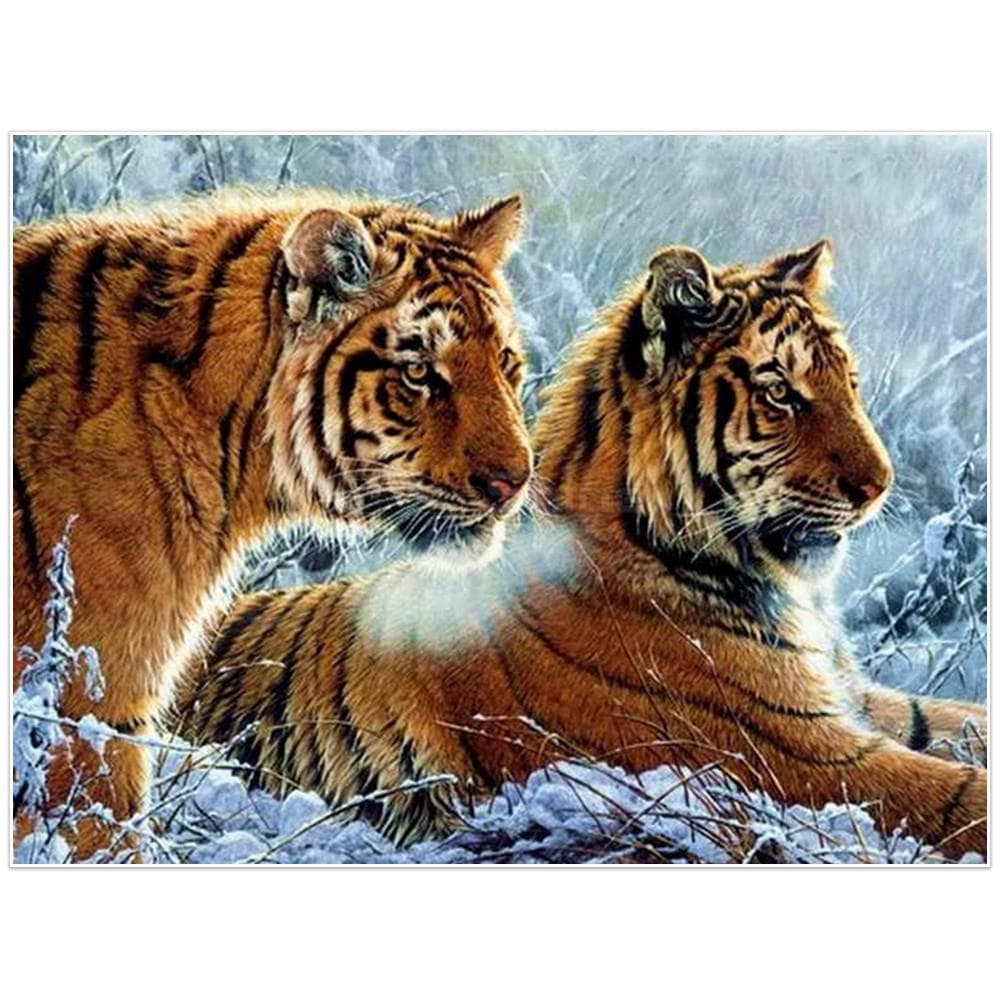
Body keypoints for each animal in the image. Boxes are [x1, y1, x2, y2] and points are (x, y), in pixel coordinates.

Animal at [176, 240, 987, 859]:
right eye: (780, 391)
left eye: (847, 382)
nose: (880, 485)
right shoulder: (790, 752)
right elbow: (953, 794)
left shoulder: (850, 699)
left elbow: (955, 719)